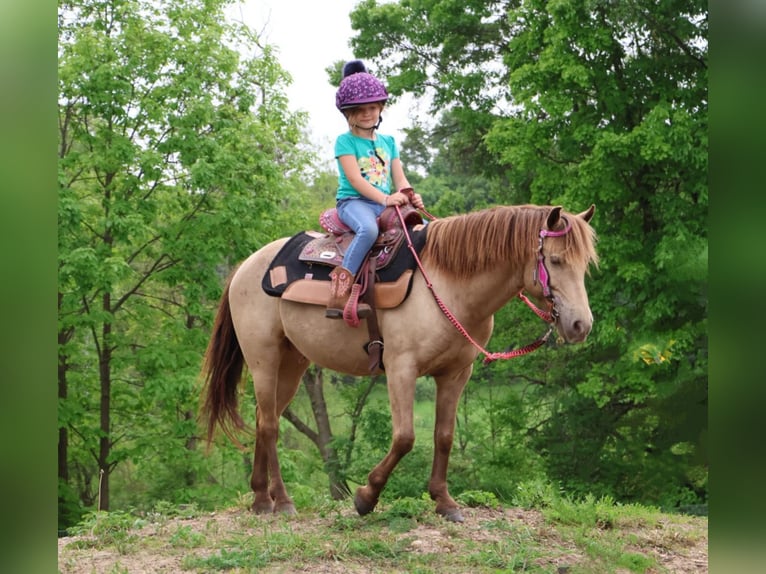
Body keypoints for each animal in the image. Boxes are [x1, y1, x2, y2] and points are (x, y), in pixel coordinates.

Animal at [201, 203, 598, 522]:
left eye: (585, 264)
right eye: (556, 260)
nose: (581, 325)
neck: (447, 284)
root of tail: (247, 266)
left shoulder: (456, 374)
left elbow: (443, 436)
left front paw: (444, 502)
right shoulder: (400, 369)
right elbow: (405, 437)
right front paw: (366, 497)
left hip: (293, 363)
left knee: (263, 419)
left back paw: (260, 497)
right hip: (263, 358)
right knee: (269, 425)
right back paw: (281, 501)